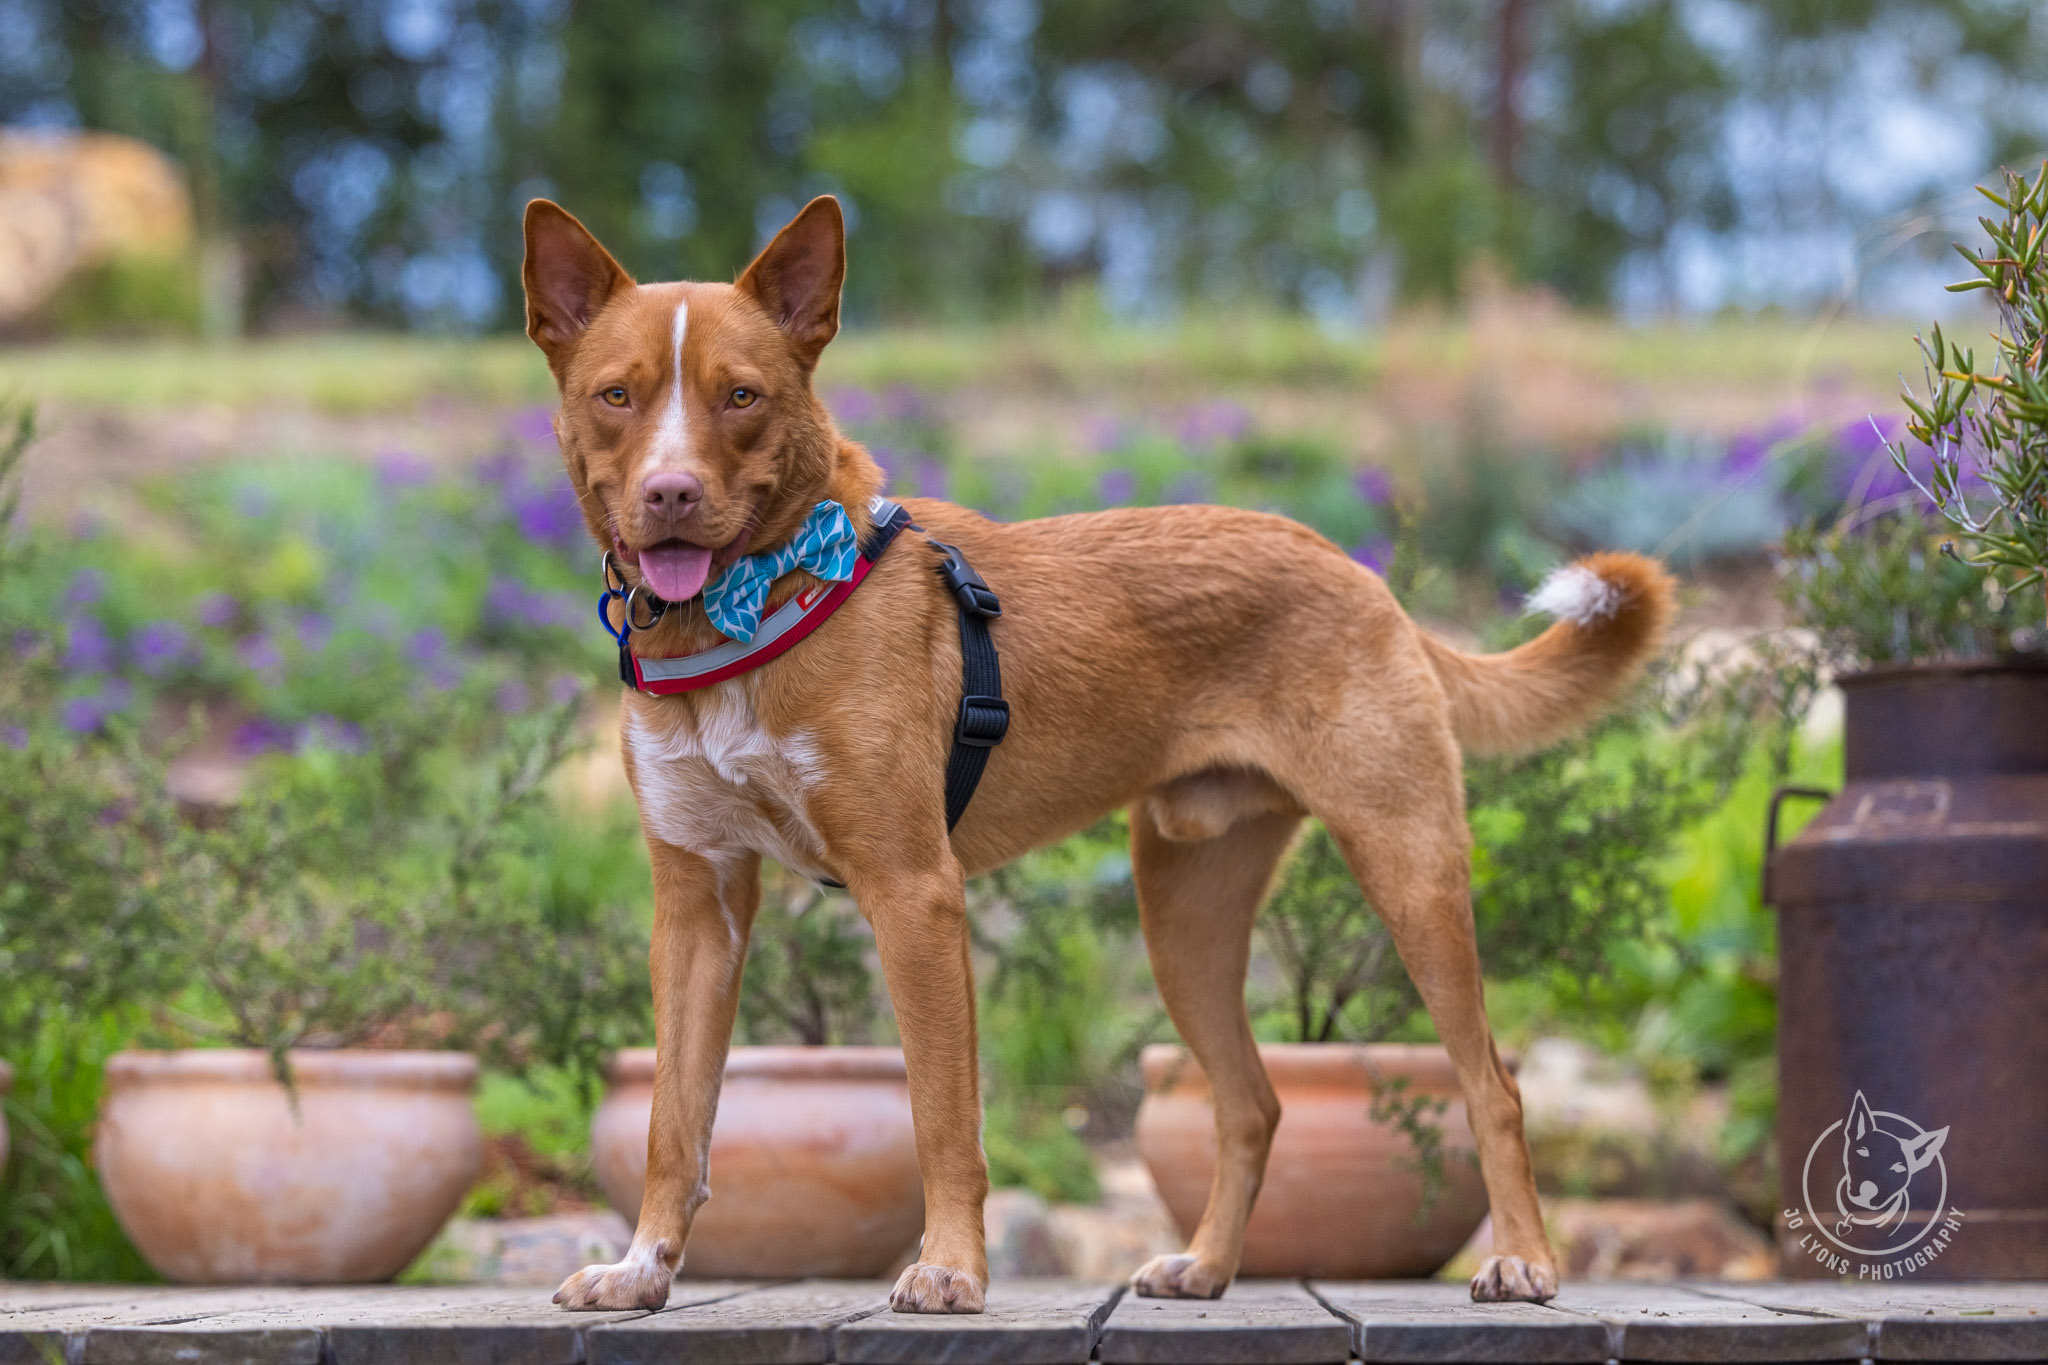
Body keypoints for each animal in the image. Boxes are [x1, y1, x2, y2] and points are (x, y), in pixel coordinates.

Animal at [520, 197, 1671, 1317]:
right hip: (1183, 916)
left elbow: (942, 1116)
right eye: (617, 395)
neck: (752, 606)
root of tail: (1356, 568)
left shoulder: (912, 891)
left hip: (1409, 868)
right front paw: (642, 1269)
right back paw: (1205, 1266)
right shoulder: (697, 905)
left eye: (741, 396)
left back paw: (1521, 1261)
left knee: (1492, 1086)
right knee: (1253, 1103)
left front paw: (950, 1270)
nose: (669, 493)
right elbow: (674, 1120)